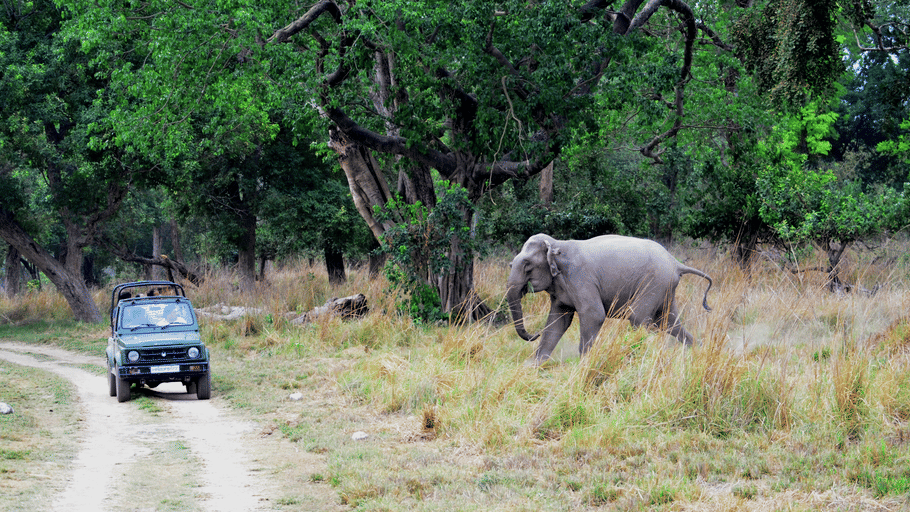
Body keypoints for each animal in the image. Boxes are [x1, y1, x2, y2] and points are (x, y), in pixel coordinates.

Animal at [507, 233, 713, 363]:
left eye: (527, 265)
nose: (534, 334)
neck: (557, 243)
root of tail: (676, 263)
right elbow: (558, 322)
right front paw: (535, 366)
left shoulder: (580, 278)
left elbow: (594, 315)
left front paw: (584, 364)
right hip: (665, 287)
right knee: (669, 322)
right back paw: (700, 350)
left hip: (655, 282)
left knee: (639, 319)